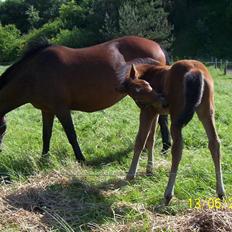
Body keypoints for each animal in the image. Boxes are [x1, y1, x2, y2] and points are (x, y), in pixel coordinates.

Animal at [119, 59, 225, 205]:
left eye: (147, 85)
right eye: (138, 92)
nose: (163, 101)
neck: (150, 73)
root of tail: (195, 71)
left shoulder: (147, 111)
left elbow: (141, 139)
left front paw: (130, 174)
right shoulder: (156, 112)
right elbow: (151, 139)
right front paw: (149, 169)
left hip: (177, 117)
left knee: (177, 149)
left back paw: (168, 194)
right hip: (207, 112)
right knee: (214, 143)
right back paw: (221, 192)